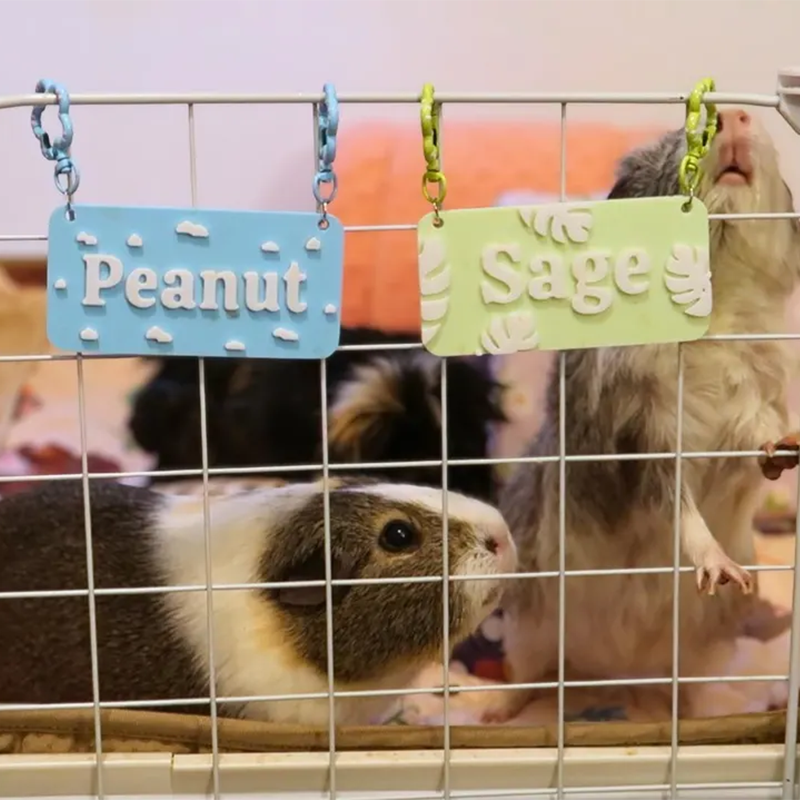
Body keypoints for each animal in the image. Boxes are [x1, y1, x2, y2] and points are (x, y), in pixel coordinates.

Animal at [477, 108, 800, 724]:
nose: (734, 113)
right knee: (526, 675)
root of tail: (615, 674)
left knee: (684, 693)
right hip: (529, 621)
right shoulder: (644, 438)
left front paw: (785, 453)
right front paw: (721, 573)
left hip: (698, 652)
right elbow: (678, 510)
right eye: (675, 141)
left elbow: (762, 438)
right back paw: (488, 712)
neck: (717, 306)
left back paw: (701, 714)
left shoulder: (751, 408)